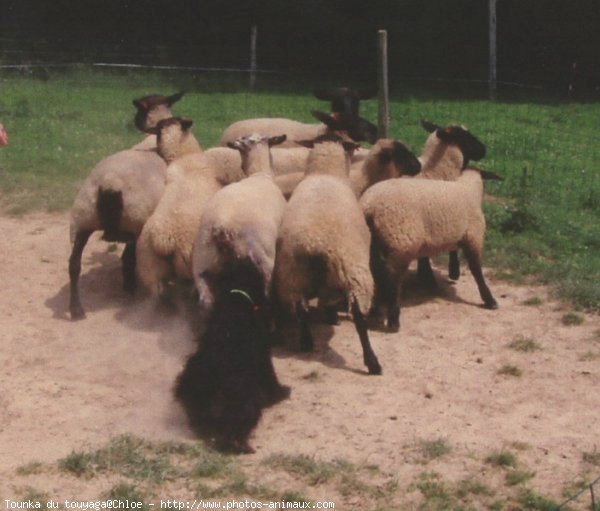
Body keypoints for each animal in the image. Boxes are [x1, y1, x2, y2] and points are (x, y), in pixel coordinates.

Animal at [67, 92, 183, 320]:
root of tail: (110, 184)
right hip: (136, 223)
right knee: (128, 259)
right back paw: (131, 289)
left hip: (83, 219)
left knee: (74, 265)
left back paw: (76, 309)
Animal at [173, 262, 290, 454]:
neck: (237, 297)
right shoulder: (264, 357)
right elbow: (271, 379)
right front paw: (281, 393)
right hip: (244, 397)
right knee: (235, 425)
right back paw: (239, 445)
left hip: (193, 384)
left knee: (198, 411)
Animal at [191, 133, 288, 312]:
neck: (260, 174)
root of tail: (223, 225)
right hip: (263, 259)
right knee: (266, 297)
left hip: (202, 260)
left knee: (207, 301)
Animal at [360, 168, 496, 332]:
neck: (469, 191)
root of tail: (369, 205)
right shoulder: (473, 237)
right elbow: (477, 271)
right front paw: (489, 299)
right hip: (401, 241)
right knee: (392, 279)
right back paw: (393, 320)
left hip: (375, 243)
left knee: (377, 273)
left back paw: (376, 311)